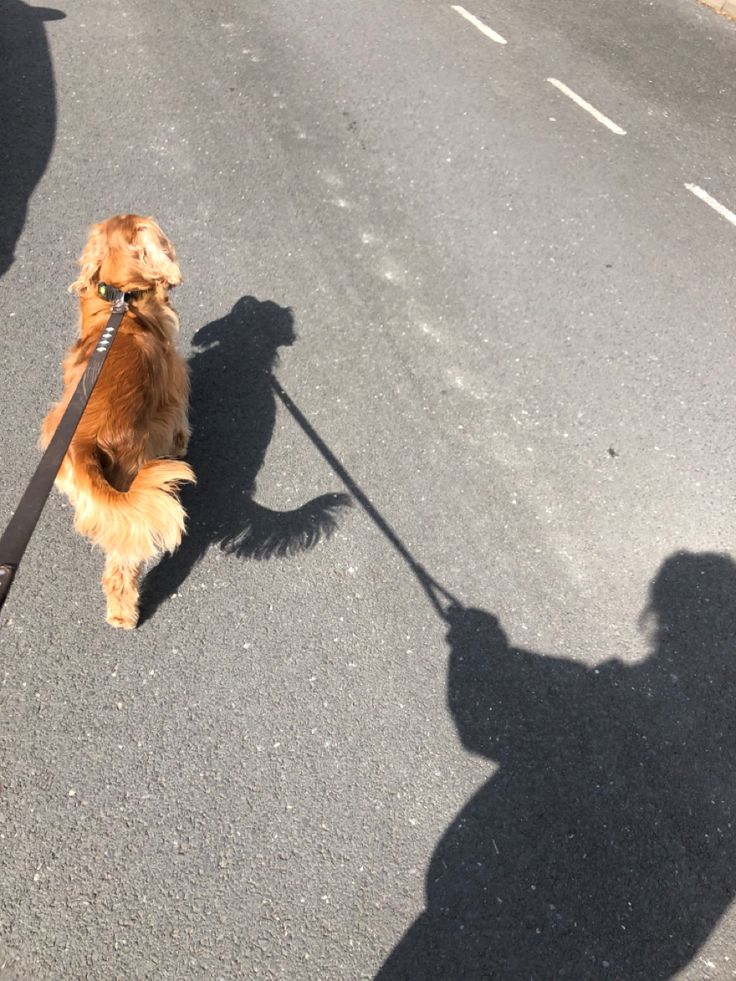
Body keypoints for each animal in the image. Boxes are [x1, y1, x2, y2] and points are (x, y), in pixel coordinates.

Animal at [41, 214, 193, 628]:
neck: (121, 299)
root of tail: (81, 440)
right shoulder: (173, 384)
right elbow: (179, 422)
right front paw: (182, 442)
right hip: (130, 475)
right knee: (123, 562)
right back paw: (124, 614)